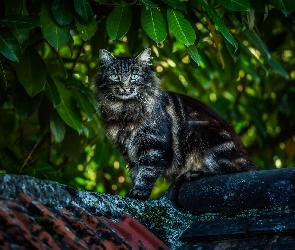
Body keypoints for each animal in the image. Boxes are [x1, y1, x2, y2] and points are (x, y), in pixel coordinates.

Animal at [96, 47, 258, 200]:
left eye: (134, 76)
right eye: (115, 76)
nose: (124, 86)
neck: (124, 111)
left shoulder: (153, 146)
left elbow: (147, 173)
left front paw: (138, 193)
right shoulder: (129, 153)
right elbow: (136, 174)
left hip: (198, 131)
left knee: (230, 169)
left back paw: (192, 173)